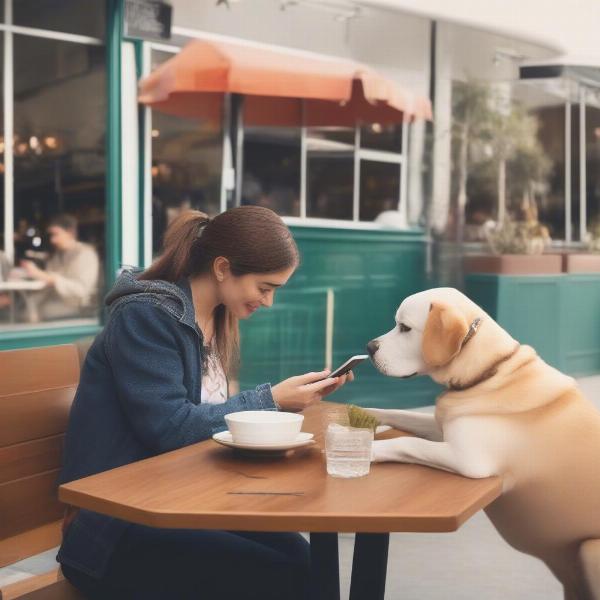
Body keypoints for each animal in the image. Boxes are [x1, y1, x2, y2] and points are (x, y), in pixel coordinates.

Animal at [364, 288, 600, 596]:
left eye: (404, 328)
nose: (369, 347)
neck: (492, 371)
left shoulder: (468, 459)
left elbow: (406, 443)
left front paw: (368, 449)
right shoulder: (442, 429)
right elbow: (398, 414)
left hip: (590, 550)